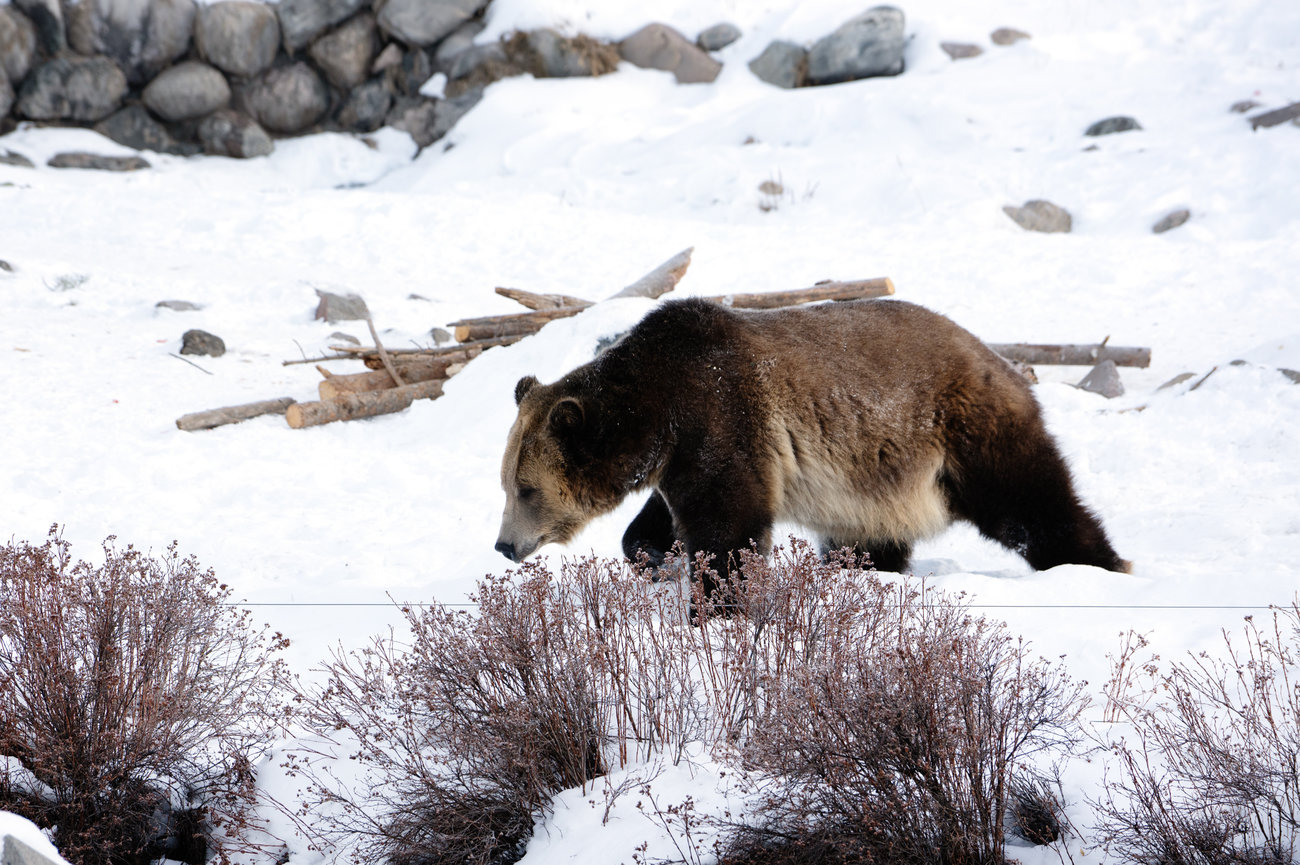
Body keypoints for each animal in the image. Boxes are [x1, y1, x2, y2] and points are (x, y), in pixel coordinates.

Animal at [496, 296, 1128, 600]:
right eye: (506, 484)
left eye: (526, 489)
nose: (504, 545)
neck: (654, 408)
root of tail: (1000, 360)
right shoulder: (684, 451)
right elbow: (662, 520)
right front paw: (654, 555)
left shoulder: (723, 413)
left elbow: (728, 527)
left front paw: (715, 602)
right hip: (878, 482)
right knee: (872, 540)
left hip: (960, 431)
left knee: (1031, 504)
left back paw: (1100, 564)